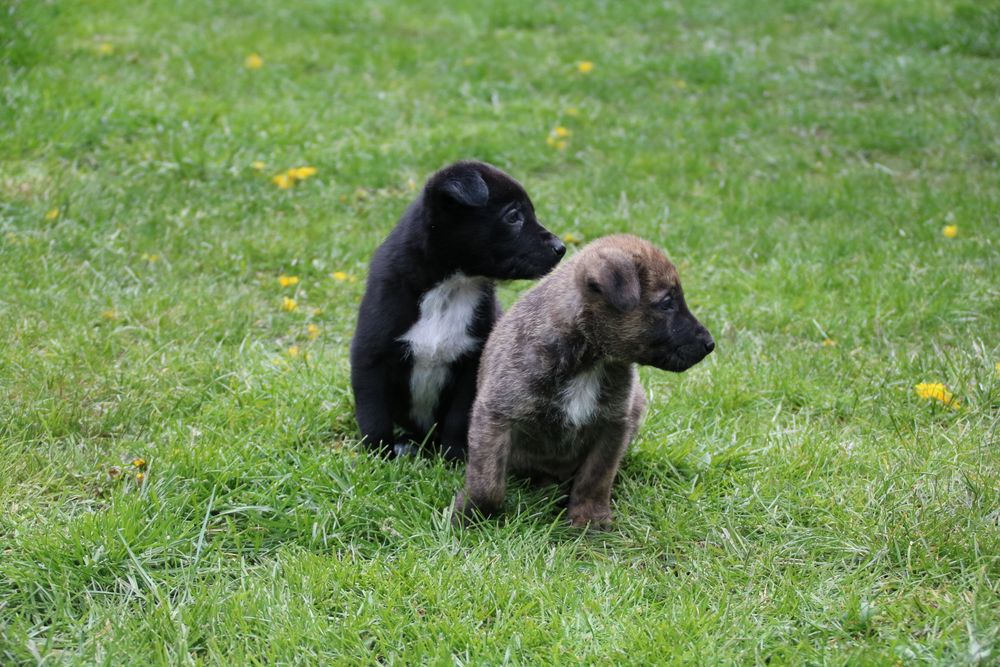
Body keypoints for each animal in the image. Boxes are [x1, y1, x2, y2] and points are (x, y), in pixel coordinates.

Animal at [348, 160, 568, 460]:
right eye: (513, 216)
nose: (561, 247)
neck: (450, 287)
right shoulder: (371, 355)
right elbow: (374, 416)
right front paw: (379, 457)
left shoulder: (472, 363)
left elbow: (458, 417)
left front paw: (453, 458)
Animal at [450, 237, 716, 528]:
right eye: (667, 302)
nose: (710, 344)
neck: (588, 361)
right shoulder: (496, 415)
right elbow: (487, 482)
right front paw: (471, 515)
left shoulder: (613, 425)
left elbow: (595, 477)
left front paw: (589, 518)